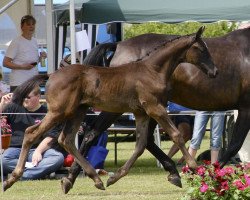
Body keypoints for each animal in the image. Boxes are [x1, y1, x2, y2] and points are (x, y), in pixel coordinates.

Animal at [2, 26, 216, 191]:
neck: (152, 70)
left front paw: (115, 177)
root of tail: (51, 75)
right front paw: (195, 168)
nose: (214, 71)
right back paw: (12, 178)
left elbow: (140, 144)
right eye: (200, 48)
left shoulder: (141, 112)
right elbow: (176, 135)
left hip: (78, 111)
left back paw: (93, 179)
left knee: (67, 139)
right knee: (32, 133)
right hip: (59, 111)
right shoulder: (155, 108)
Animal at [61, 26, 250, 192]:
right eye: (201, 50)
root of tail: (119, 46)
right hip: (120, 107)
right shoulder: (245, 109)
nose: (214, 71)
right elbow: (234, 145)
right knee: (91, 134)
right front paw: (212, 176)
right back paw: (76, 178)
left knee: (145, 140)